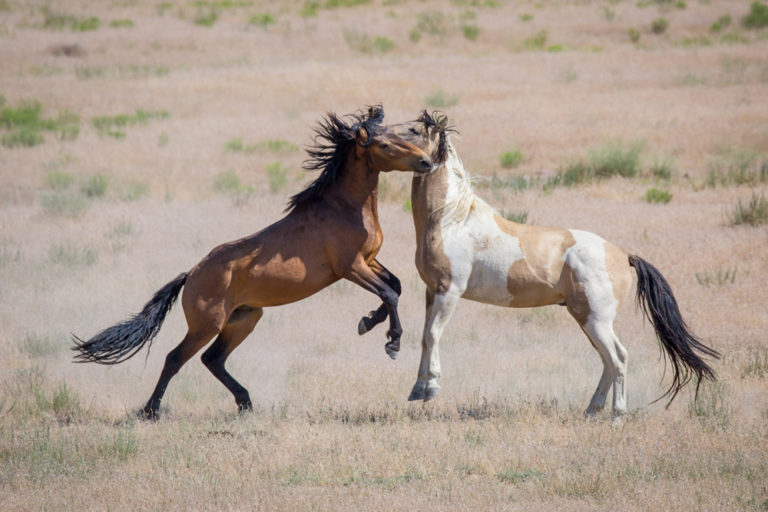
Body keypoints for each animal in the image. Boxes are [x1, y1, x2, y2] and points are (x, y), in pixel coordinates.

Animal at [75, 106, 436, 418]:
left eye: (400, 133)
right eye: (385, 144)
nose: (426, 162)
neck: (344, 208)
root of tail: (191, 275)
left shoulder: (370, 261)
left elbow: (396, 287)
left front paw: (367, 322)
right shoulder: (350, 268)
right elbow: (389, 294)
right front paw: (392, 341)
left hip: (245, 318)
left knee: (213, 359)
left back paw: (245, 403)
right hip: (207, 325)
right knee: (175, 358)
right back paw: (151, 411)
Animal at [360, 112, 720, 416]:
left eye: (413, 130)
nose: (373, 134)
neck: (453, 220)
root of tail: (623, 255)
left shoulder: (449, 291)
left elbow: (432, 335)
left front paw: (429, 388)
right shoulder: (431, 291)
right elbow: (424, 336)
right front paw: (418, 388)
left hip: (595, 319)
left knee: (617, 360)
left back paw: (616, 416)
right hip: (587, 318)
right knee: (612, 359)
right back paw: (592, 411)